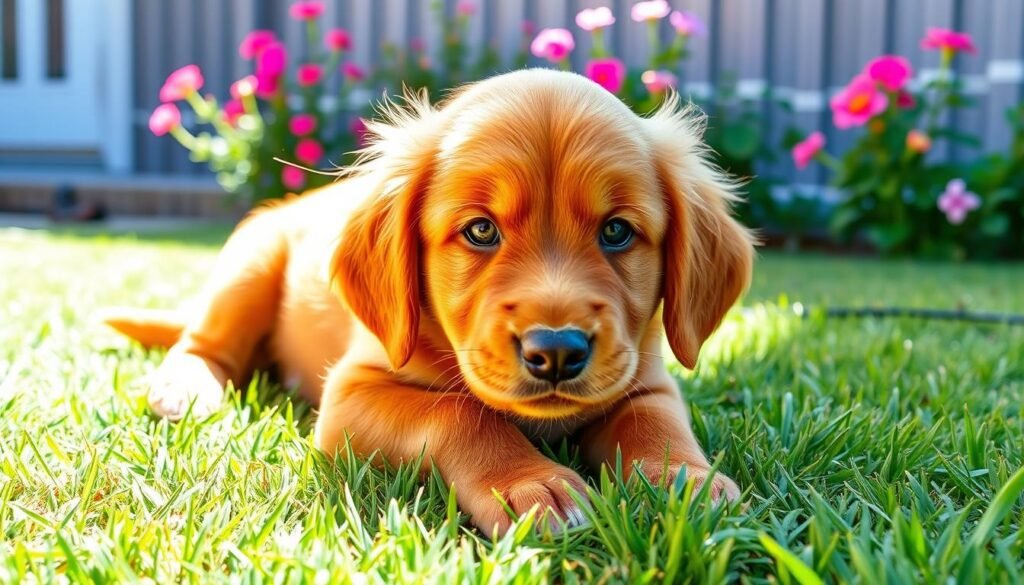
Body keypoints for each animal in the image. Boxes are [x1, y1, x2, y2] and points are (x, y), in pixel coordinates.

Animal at [108, 69, 757, 536]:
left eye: (618, 231)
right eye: (480, 231)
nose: (555, 352)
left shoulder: (646, 378)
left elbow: (653, 421)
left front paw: (687, 478)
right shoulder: (351, 395)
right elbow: (457, 412)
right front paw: (532, 484)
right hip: (249, 265)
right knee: (203, 343)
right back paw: (185, 387)